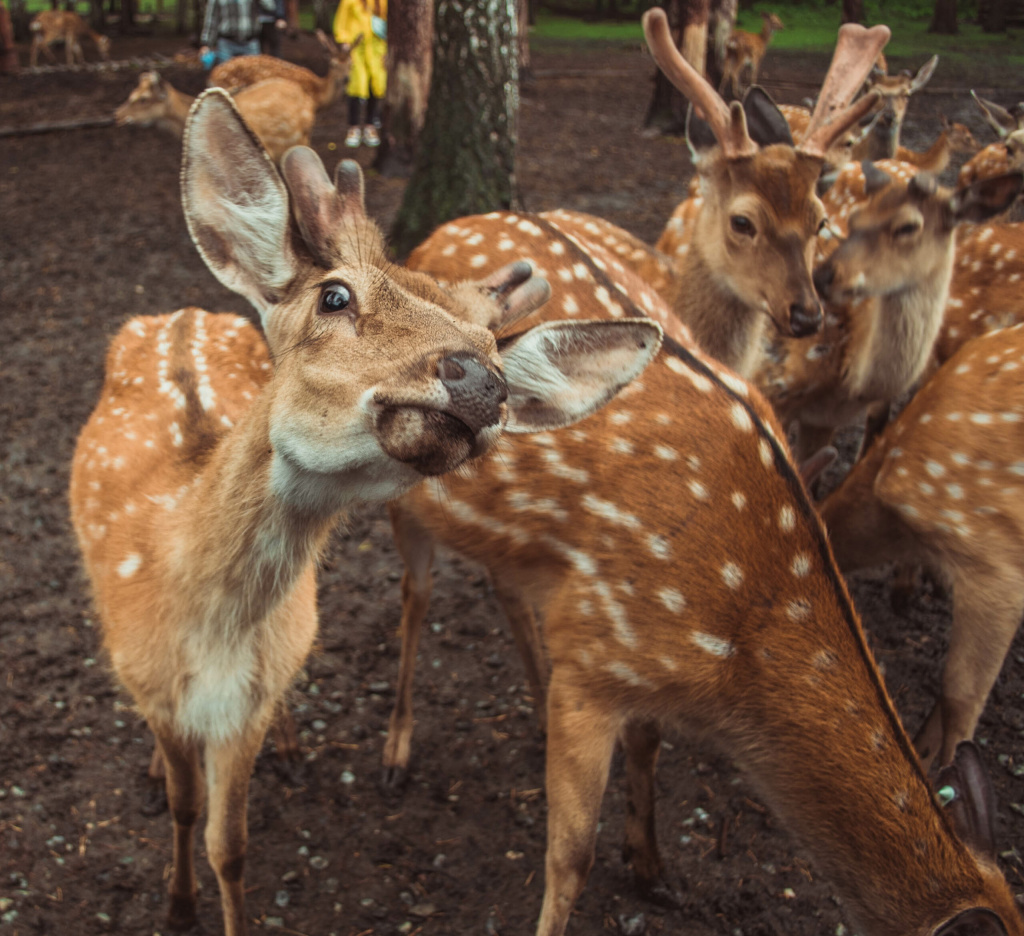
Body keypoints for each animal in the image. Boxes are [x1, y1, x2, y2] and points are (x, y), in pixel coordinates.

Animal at [68, 87, 659, 933]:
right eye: (335, 295)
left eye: (496, 348)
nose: (482, 382)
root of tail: (183, 312)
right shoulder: (155, 691)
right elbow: (185, 811)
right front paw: (176, 905)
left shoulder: (243, 709)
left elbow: (230, 848)